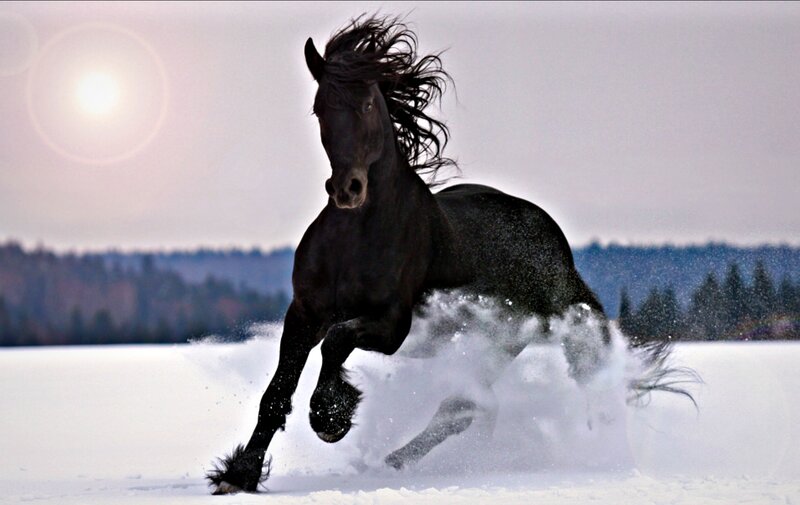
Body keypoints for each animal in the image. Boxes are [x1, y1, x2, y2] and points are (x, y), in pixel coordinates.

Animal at [207, 15, 686, 495]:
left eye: (367, 104)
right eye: (319, 108)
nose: (347, 189)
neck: (355, 238)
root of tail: (558, 250)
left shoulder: (392, 325)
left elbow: (338, 341)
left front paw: (330, 417)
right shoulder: (305, 313)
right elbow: (277, 393)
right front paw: (238, 474)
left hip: (499, 341)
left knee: (462, 407)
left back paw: (393, 461)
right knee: (465, 407)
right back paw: (395, 460)